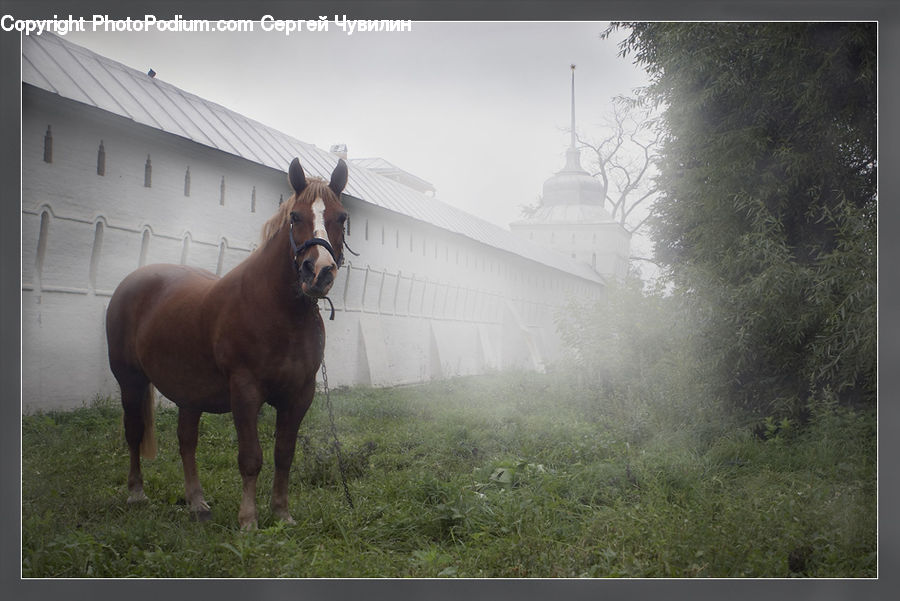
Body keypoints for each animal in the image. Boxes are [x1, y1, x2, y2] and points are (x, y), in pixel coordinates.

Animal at [105, 158, 349, 529]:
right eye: (295, 216)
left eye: (342, 217)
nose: (319, 272)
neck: (279, 311)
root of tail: (132, 281)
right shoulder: (245, 392)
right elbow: (250, 457)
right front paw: (248, 519)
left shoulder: (299, 395)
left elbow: (284, 454)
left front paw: (282, 513)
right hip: (130, 380)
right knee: (134, 431)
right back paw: (136, 493)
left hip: (189, 392)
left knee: (186, 441)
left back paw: (197, 503)